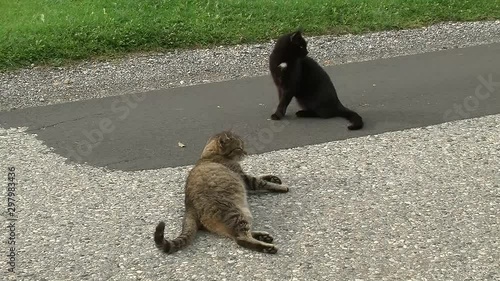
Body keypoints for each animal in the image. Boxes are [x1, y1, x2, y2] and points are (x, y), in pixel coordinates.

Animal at [155, 131, 290, 254]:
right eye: (239, 148)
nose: (246, 153)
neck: (209, 155)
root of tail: (189, 207)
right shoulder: (245, 179)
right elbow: (261, 182)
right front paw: (281, 187)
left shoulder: (244, 178)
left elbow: (261, 177)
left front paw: (273, 178)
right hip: (235, 213)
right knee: (241, 238)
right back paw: (267, 247)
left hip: (243, 213)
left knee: (238, 234)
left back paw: (263, 236)